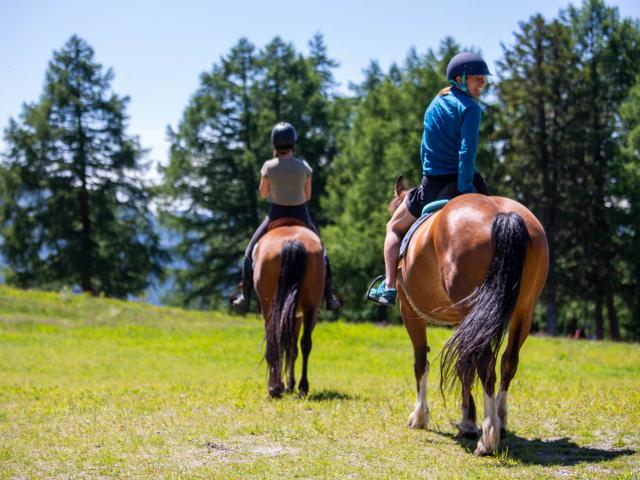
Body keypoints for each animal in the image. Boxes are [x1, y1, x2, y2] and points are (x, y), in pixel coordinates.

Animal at [252, 218, 324, 398]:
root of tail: (293, 243)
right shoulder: (298, 316)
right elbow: (293, 346)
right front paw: (290, 384)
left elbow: (287, 345)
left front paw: (284, 384)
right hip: (310, 308)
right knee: (305, 344)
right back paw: (302, 387)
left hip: (271, 308)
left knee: (276, 340)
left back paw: (275, 387)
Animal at [392, 176, 548, 454]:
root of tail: (503, 216)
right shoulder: (464, 320)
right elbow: (464, 365)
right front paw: (467, 421)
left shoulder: (409, 312)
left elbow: (421, 362)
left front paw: (419, 415)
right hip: (523, 311)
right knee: (507, 362)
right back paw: (499, 421)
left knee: (486, 365)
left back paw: (488, 437)